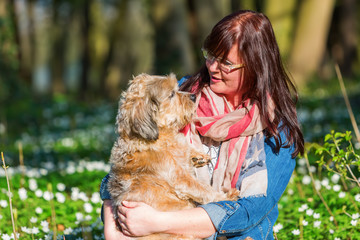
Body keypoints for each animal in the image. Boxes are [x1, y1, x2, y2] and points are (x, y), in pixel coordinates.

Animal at [109, 73, 239, 240]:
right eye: (171, 94)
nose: (193, 95)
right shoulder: (180, 179)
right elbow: (204, 190)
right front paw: (226, 197)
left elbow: (186, 148)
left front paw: (197, 156)